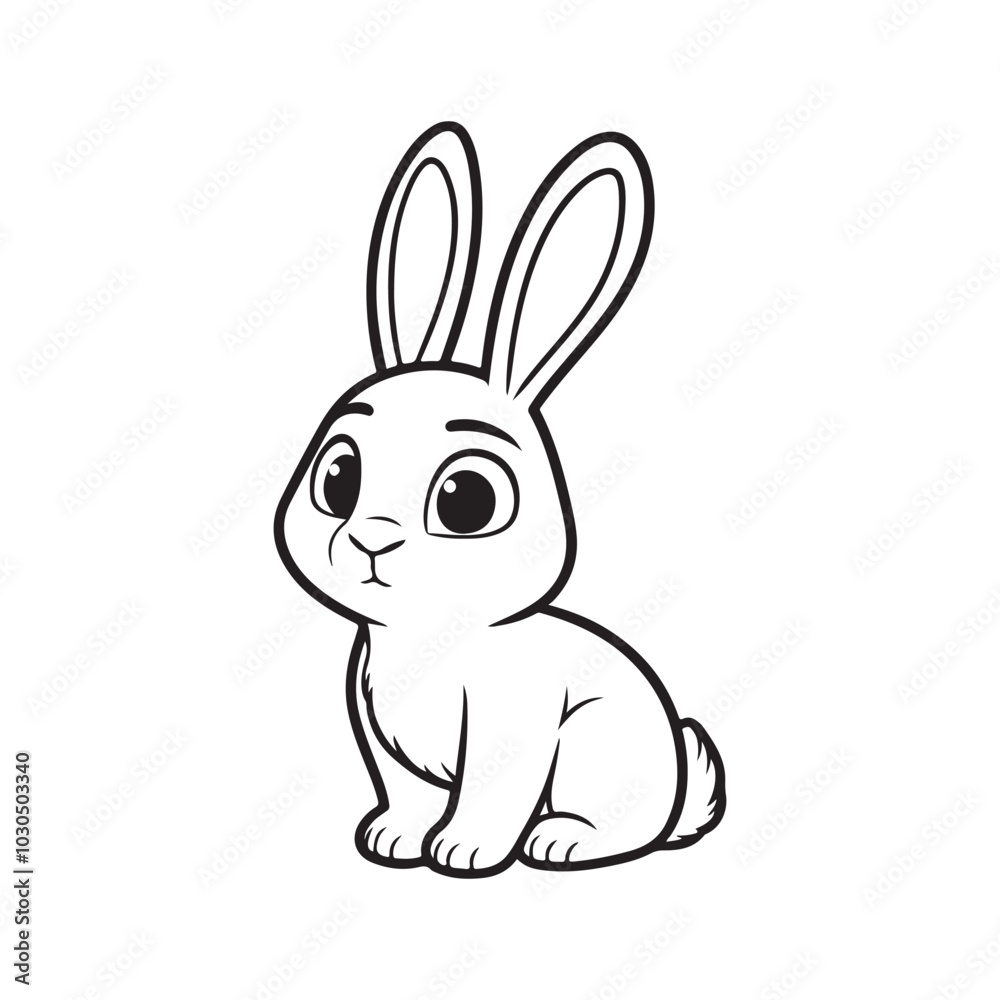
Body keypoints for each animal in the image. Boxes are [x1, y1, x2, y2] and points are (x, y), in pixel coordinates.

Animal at [274, 121, 725, 877]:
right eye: (337, 479)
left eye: (467, 501)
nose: (371, 539)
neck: (428, 638)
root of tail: (678, 796)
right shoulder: (384, 743)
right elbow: (406, 794)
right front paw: (392, 840)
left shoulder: (513, 733)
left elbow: (491, 798)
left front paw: (463, 852)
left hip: (594, 745)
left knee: (622, 827)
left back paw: (564, 840)